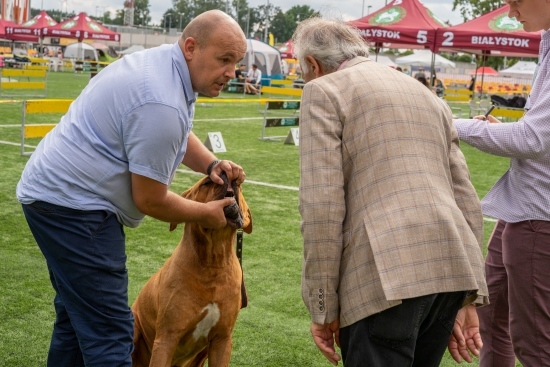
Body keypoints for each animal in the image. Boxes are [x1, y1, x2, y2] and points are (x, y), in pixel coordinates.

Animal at [133, 173, 253, 367]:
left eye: (240, 184)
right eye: (207, 182)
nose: (230, 177)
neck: (213, 263)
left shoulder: (222, 339)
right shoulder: (167, 338)